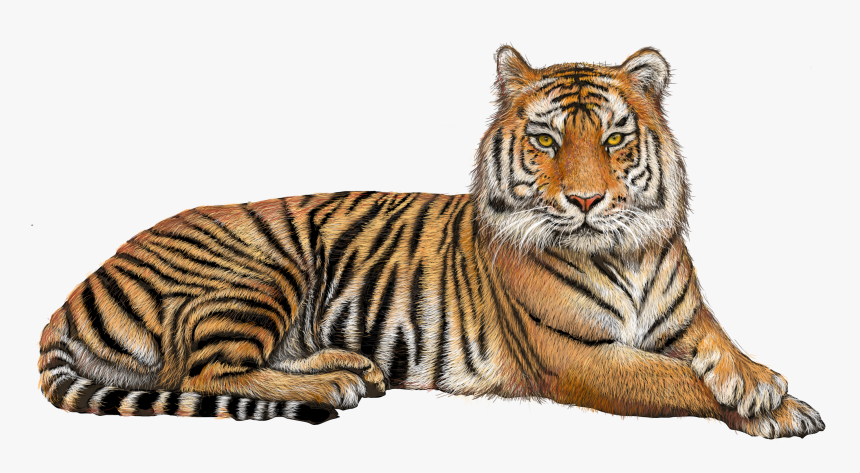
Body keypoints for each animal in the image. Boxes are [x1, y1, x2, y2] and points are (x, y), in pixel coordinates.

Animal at [38, 46, 824, 438]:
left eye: (613, 139)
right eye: (546, 141)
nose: (586, 200)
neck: (625, 251)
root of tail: (71, 296)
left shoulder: (686, 318)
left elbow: (719, 346)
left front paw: (765, 386)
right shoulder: (578, 357)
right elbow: (676, 379)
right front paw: (773, 408)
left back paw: (353, 366)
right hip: (258, 270)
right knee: (204, 372)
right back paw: (332, 383)